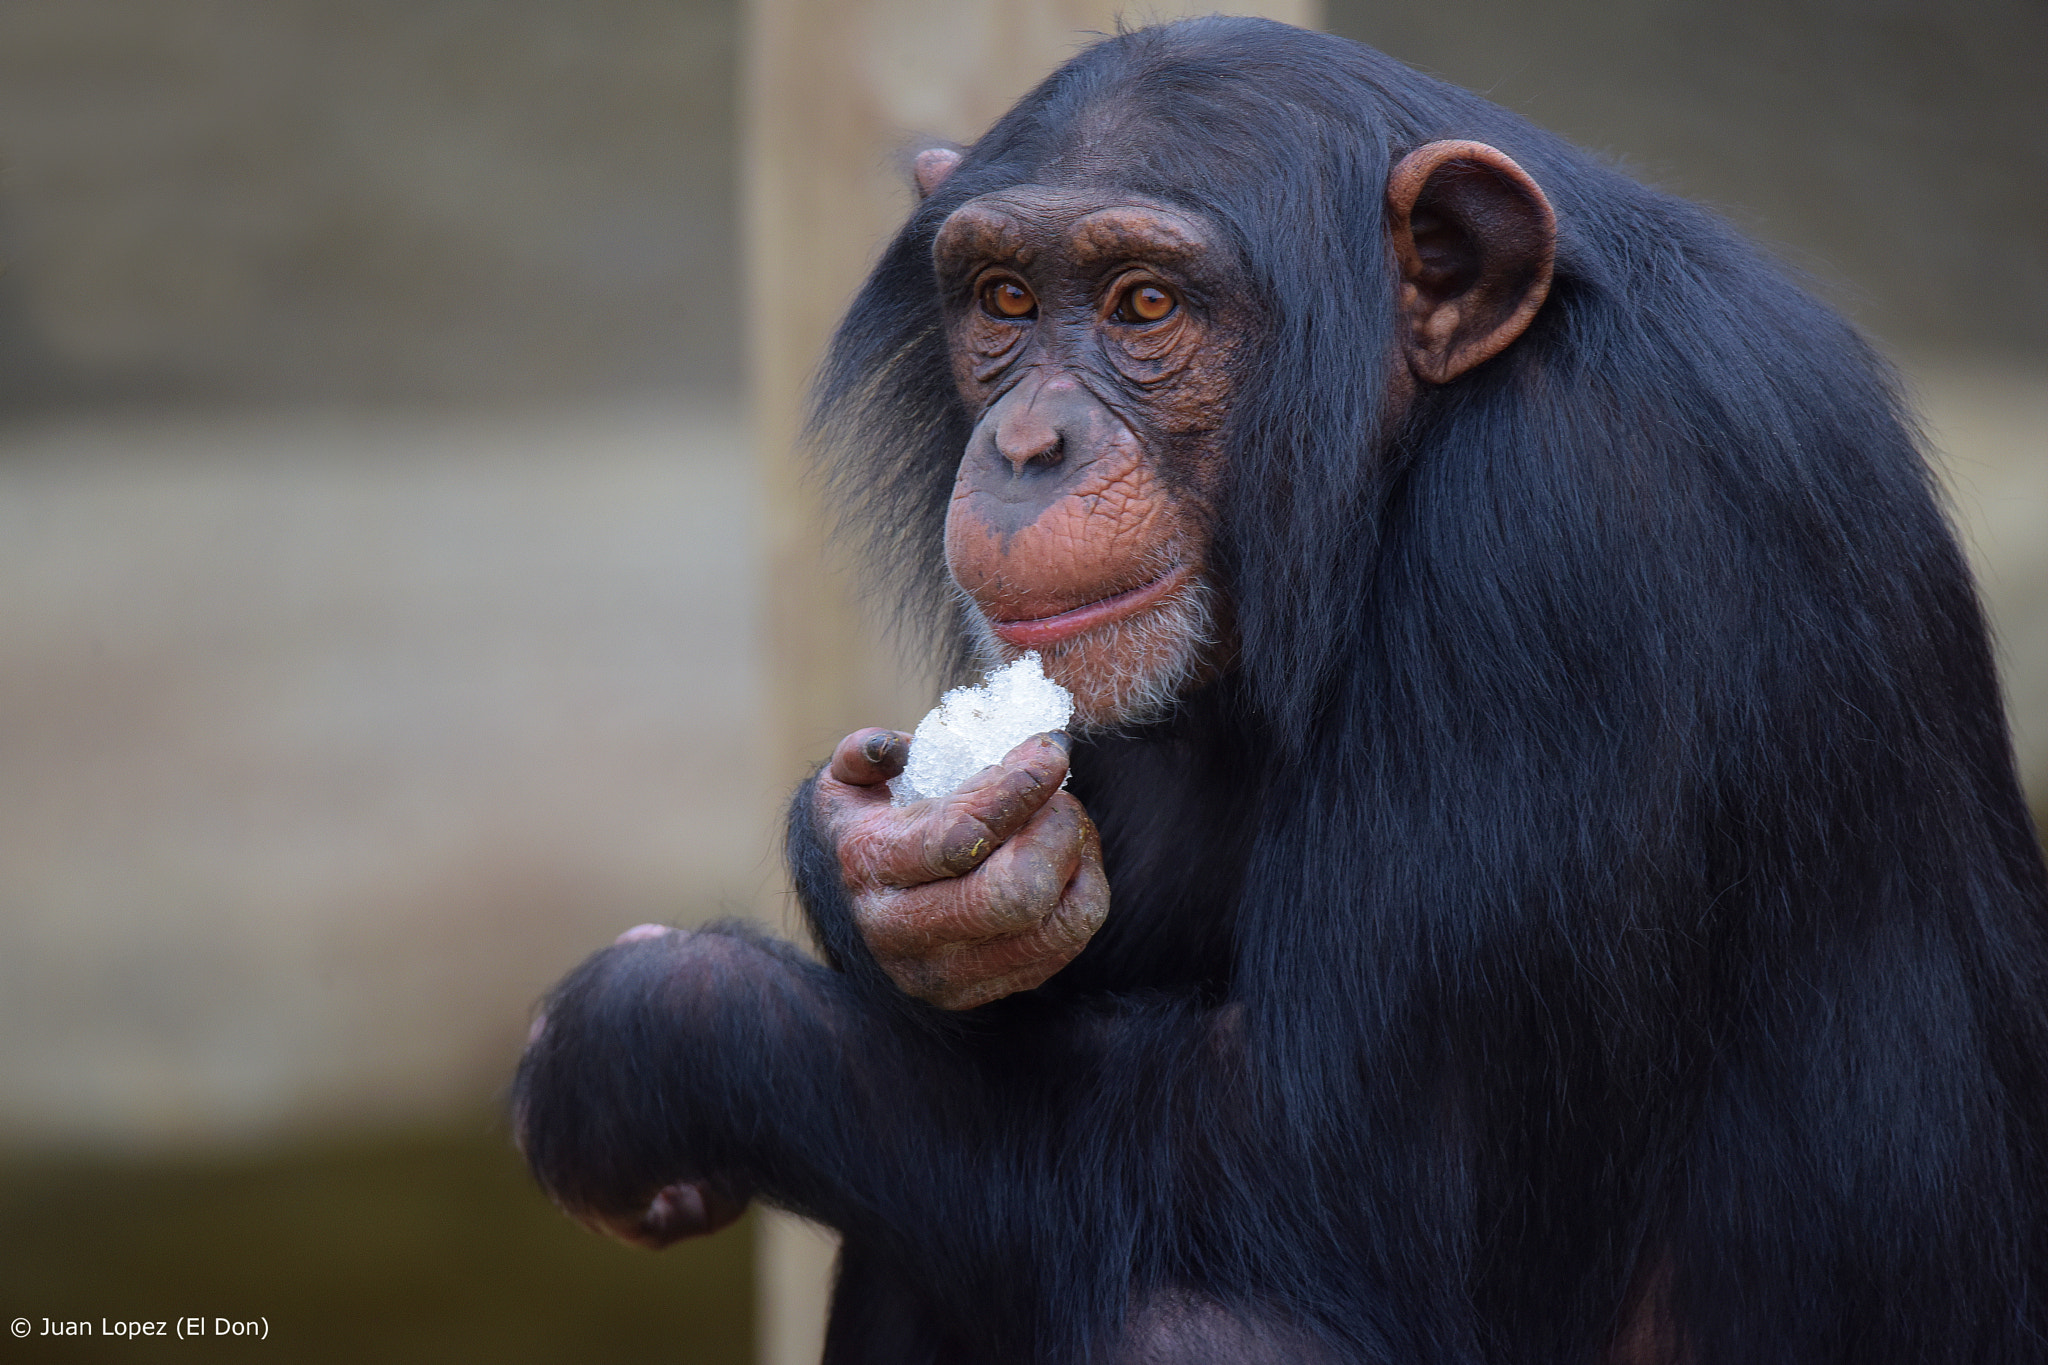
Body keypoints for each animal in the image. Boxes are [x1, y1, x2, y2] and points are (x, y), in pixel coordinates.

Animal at [520, 13, 2048, 1365]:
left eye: (1145, 305)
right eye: (1003, 300)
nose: (1025, 442)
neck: (1404, 445)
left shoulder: (1567, 537)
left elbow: (1319, 1172)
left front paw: (650, 1027)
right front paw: (881, 868)